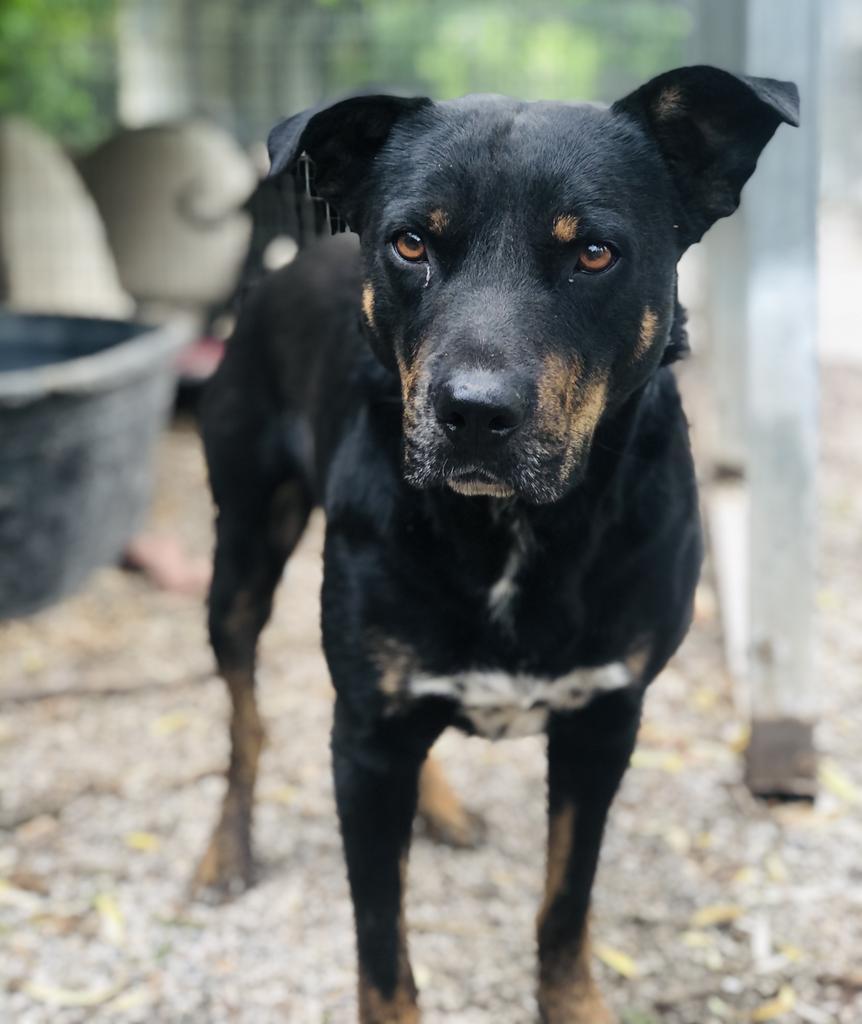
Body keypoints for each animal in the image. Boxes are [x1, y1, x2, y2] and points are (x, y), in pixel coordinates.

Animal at [193, 66, 794, 1024]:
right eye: (410, 244)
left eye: (595, 253)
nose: (472, 413)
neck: (513, 527)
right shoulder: (367, 743)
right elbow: (382, 948)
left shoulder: (603, 724)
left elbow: (565, 900)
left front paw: (573, 1002)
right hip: (243, 554)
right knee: (245, 721)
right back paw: (227, 849)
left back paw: (438, 808)